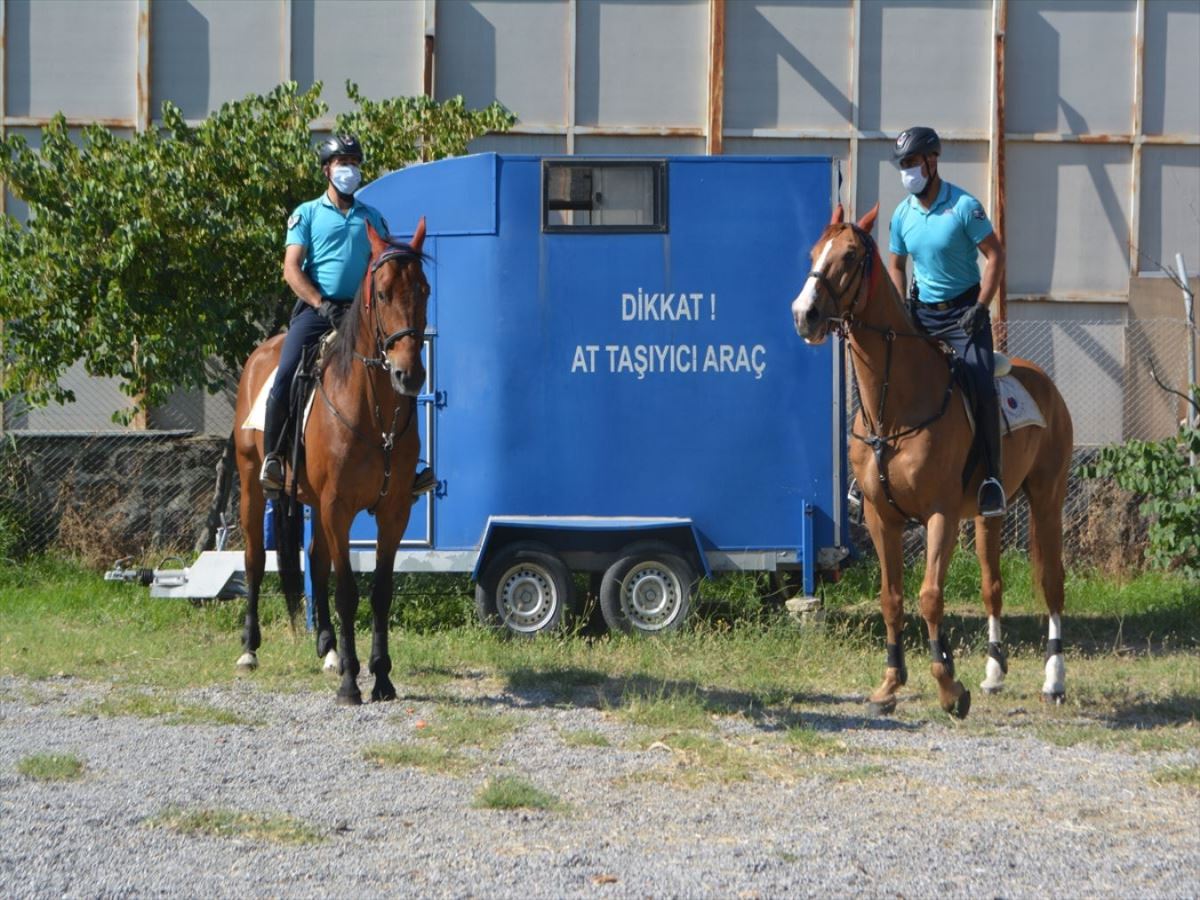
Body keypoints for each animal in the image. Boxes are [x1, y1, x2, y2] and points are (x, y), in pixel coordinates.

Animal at [231, 218, 429, 705]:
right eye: (382, 294)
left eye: (425, 290)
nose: (409, 374)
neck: (372, 411)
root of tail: (260, 353)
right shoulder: (338, 507)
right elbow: (347, 592)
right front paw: (350, 685)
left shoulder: (392, 512)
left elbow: (379, 592)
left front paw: (380, 677)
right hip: (252, 484)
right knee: (254, 559)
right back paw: (250, 649)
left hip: (314, 502)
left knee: (316, 560)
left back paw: (329, 648)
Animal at [792, 204, 1075, 720]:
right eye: (813, 252)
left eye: (849, 255)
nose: (804, 315)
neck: (896, 406)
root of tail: (1043, 380)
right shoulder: (881, 518)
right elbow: (891, 599)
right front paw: (890, 684)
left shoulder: (938, 515)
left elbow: (929, 597)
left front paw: (948, 686)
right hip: (988, 514)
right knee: (992, 584)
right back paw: (993, 673)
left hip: (1048, 497)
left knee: (1052, 582)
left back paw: (1054, 680)